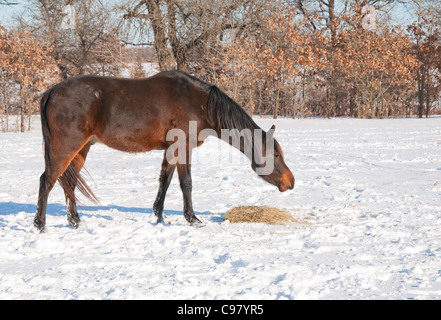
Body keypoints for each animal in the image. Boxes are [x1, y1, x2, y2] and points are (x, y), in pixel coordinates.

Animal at [34, 70, 294, 231]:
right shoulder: (183, 147)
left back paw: (75, 222)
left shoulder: (171, 150)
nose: (291, 181)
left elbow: (164, 182)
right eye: (276, 154)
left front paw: (159, 216)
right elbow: (186, 183)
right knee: (47, 180)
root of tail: (51, 92)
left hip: (81, 149)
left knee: (69, 182)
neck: (200, 103)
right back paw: (40, 224)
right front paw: (193, 219)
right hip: (66, 148)